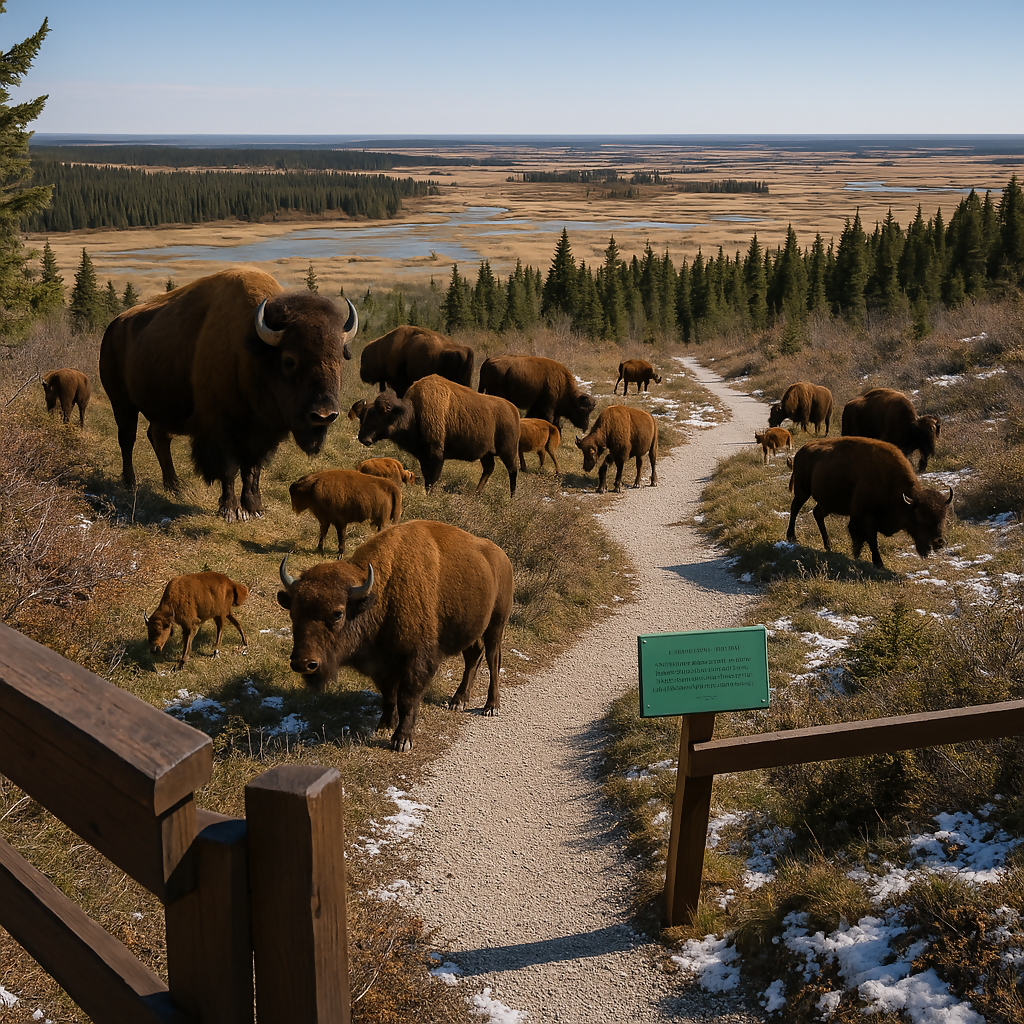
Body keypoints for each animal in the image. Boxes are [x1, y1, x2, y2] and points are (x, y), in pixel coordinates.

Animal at [99, 268, 358, 522]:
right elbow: (229, 468)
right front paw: (230, 511)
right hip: (122, 403)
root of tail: (113, 326)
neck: (253, 352)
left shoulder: (260, 434)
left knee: (159, 437)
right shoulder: (221, 429)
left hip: (160, 408)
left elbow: (253, 469)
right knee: (127, 439)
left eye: (339, 357)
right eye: (289, 359)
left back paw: (174, 486)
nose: (324, 415)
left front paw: (254, 508)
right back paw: (130, 484)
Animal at [277, 519, 514, 751]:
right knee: (473, 656)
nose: (304, 663)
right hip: (470, 629)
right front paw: (384, 725)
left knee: (493, 660)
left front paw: (402, 740)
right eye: (293, 611)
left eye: (338, 613)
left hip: (496, 626)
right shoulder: (382, 663)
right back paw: (459, 700)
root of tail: (503, 558)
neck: (381, 594)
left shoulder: (417, 660)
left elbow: (407, 697)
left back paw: (491, 706)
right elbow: (388, 694)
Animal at [358, 374, 520, 496]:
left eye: (381, 414)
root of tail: (513, 410)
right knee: (489, 468)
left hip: (508, 451)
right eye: (364, 416)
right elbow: (427, 476)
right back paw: (477, 493)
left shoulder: (435, 454)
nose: (363, 438)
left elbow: (432, 478)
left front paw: (430, 495)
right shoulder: (423, 455)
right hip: (486, 454)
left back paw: (512, 497)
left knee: (512, 470)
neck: (413, 412)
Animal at [786, 437, 953, 569]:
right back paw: (791, 537)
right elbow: (870, 539)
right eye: (920, 516)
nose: (939, 542)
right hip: (802, 491)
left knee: (817, 513)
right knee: (795, 508)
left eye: (944, 516)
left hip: (827, 502)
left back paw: (828, 546)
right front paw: (878, 563)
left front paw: (856, 556)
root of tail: (802, 450)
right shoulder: (865, 518)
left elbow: (859, 539)